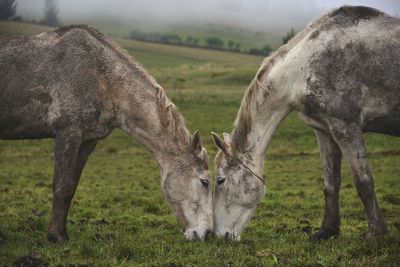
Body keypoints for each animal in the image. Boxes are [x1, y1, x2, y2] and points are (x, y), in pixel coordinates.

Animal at [0, 25, 214, 245]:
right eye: (204, 182)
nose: (207, 233)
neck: (102, 78)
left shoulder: (87, 142)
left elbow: (71, 188)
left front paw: (62, 234)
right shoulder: (67, 133)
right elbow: (61, 186)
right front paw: (56, 237)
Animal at [211, 5, 398, 241]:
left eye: (221, 180)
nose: (219, 235)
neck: (303, 67)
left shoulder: (346, 127)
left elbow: (363, 181)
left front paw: (376, 232)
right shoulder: (324, 130)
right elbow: (330, 183)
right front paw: (327, 230)